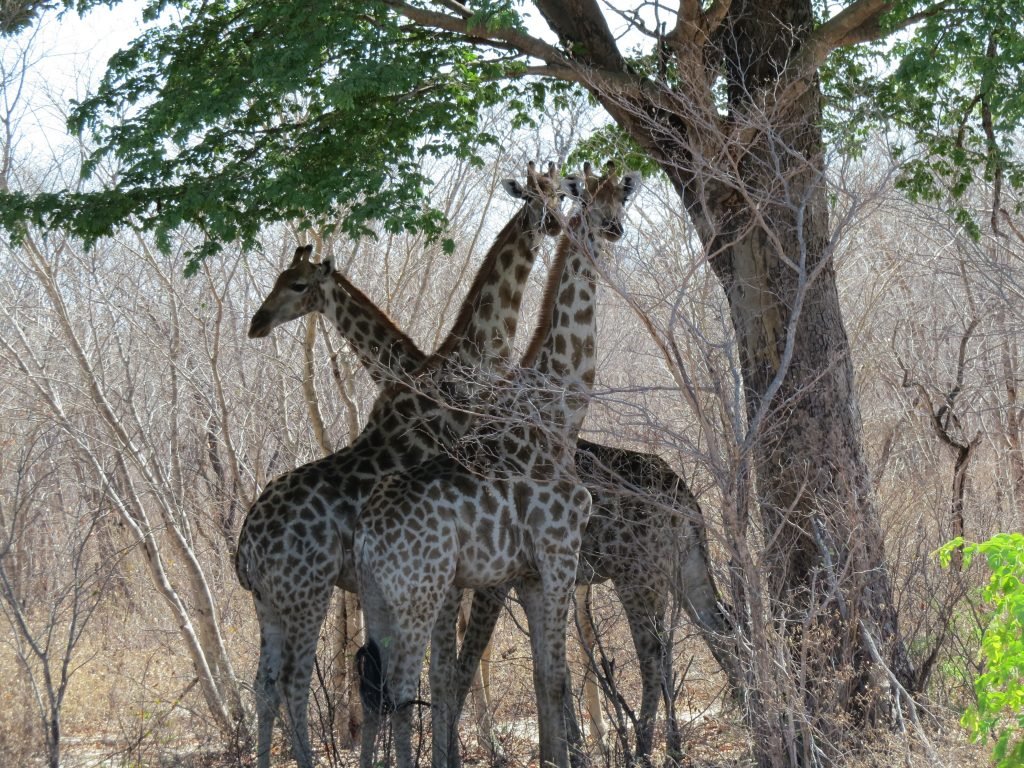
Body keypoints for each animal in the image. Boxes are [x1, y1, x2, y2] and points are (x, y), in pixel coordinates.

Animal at [235, 162, 565, 768]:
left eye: (296, 283)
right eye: (535, 198)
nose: (258, 321)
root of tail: (242, 548)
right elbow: (442, 666)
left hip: (272, 602)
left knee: (266, 685)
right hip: (306, 594)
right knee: (295, 683)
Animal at [354, 160, 638, 768]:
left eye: (620, 199)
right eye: (588, 199)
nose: (613, 229)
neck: (561, 409)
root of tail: (365, 535)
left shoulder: (526, 573)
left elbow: (544, 681)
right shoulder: (557, 553)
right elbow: (555, 678)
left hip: (383, 602)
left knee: (378, 688)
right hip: (418, 596)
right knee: (403, 687)